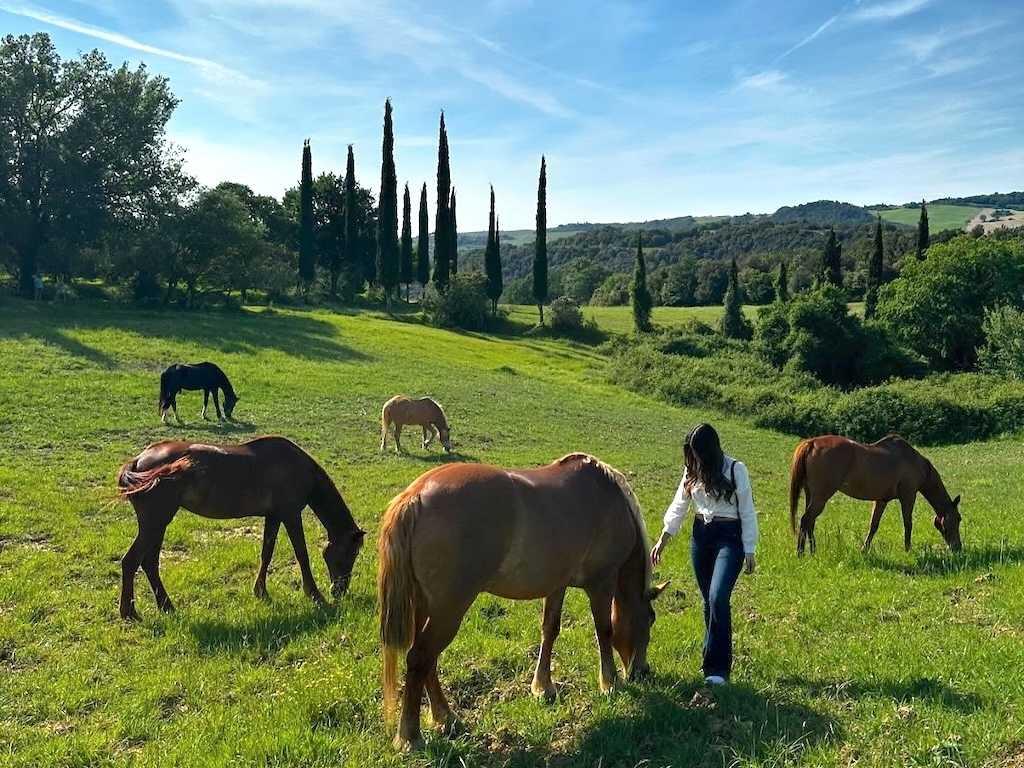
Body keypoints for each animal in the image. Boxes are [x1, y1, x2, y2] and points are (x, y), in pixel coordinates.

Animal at [116, 436, 365, 621]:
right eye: (349, 553)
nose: (339, 590)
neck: (297, 467)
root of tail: (138, 461)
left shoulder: (274, 517)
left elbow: (267, 553)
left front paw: (261, 592)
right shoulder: (291, 515)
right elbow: (302, 555)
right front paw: (315, 595)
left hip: (158, 525)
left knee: (149, 563)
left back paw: (166, 606)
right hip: (155, 522)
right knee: (131, 561)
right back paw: (130, 613)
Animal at [378, 453, 668, 751]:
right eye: (650, 619)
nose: (643, 671)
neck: (608, 498)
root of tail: (416, 494)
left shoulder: (557, 585)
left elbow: (550, 630)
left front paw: (543, 687)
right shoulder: (602, 582)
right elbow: (604, 632)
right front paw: (610, 683)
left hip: (427, 607)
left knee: (428, 662)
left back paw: (445, 718)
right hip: (448, 611)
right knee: (420, 658)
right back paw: (410, 736)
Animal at [788, 434, 962, 556]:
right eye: (959, 519)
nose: (958, 548)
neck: (914, 461)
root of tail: (811, 443)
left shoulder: (881, 500)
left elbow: (873, 525)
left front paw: (864, 549)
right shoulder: (908, 496)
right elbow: (908, 523)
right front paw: (908, 549)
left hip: (811, 495)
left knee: (810, 522)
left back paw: (813, 551)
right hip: (821, 497)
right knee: (806, 520)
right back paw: (800, 553)